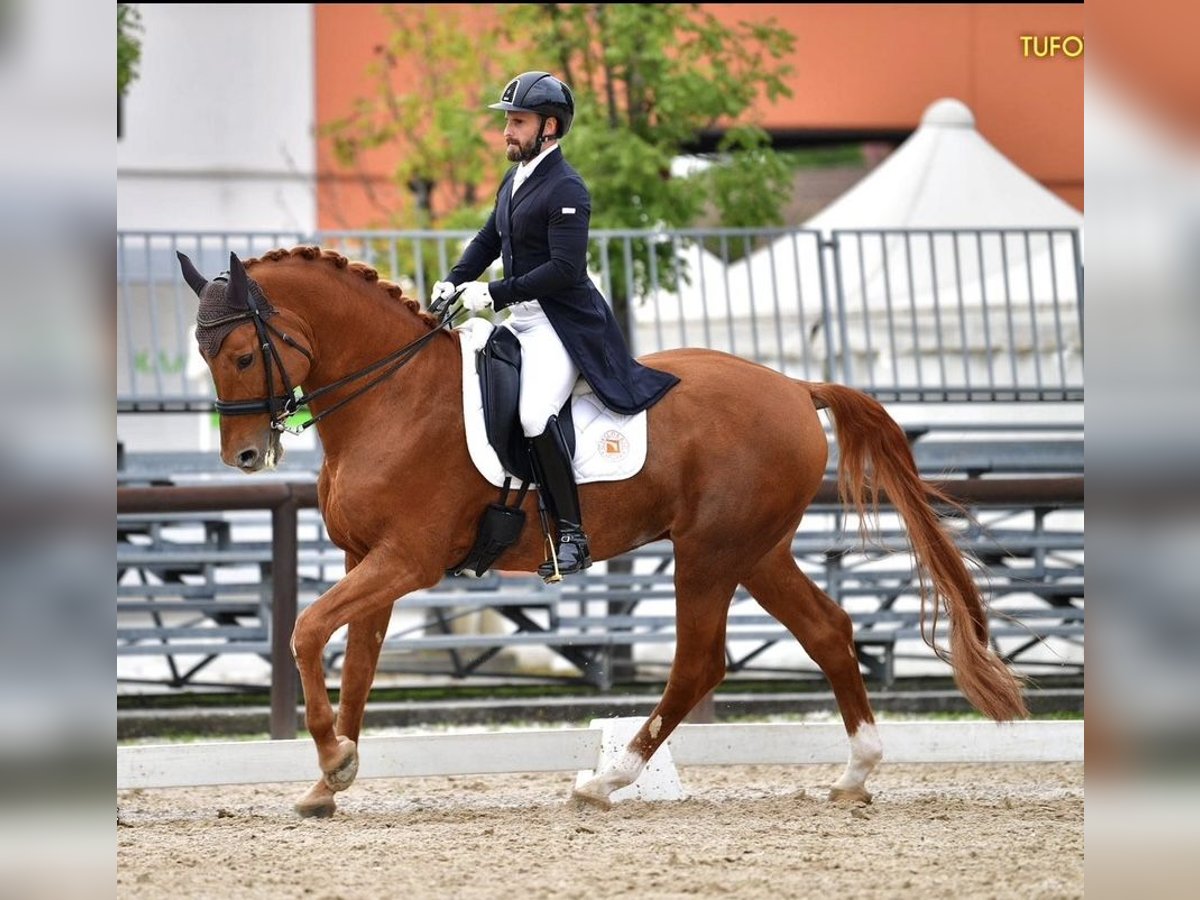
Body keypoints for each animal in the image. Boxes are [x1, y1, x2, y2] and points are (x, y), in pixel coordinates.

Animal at [182, 244, 1027, 816]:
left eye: (238, 353)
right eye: (203, 353)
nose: (243, 456)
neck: (392, 396)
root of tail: (793, 384)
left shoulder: (407, 560)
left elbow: (303, 630)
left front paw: (332, 758)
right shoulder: (369, 559)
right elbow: (354, 666)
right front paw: (331, 779)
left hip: (710, 553)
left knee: (699, 663)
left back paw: (608, 780)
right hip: (758, 551)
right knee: (825, 630)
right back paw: (855, 772)